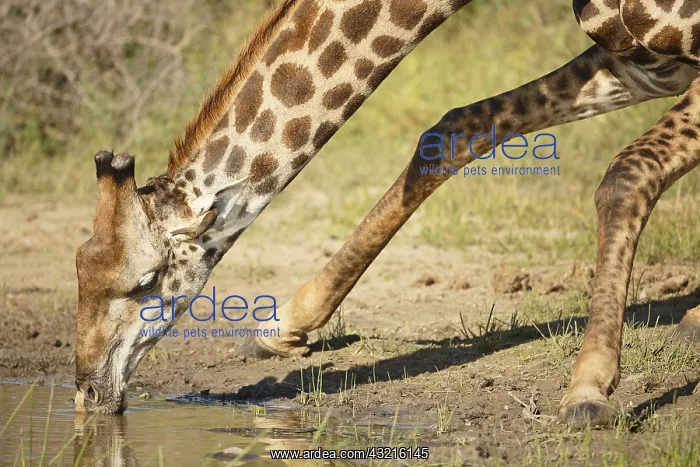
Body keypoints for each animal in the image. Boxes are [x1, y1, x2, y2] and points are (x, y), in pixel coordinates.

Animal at [74, 0, 700, 425]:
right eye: (79, 265)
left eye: (145, 280)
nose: (87, 392)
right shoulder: (644, 63)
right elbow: (455, 126)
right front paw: (284, 325)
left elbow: (625, 175)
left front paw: (587, 390)